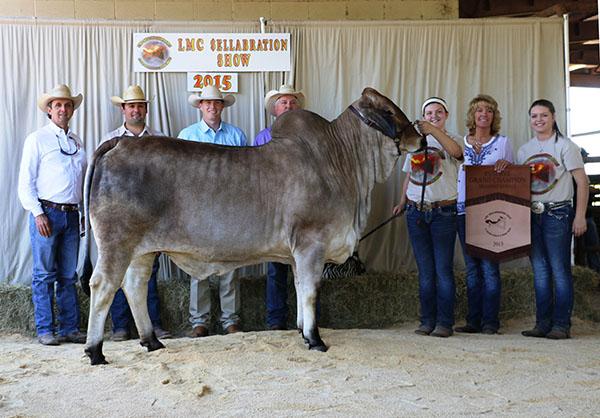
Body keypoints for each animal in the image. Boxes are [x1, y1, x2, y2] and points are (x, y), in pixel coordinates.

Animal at [82, 86, 422, 364]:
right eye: (388, 111)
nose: (420, 138)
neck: (343, 163)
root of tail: (120, 143)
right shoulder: (311, 243)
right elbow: (311, 291)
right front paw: (315, 339)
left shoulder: (297, 252)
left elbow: (299, 287)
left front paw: (302, 332)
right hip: (116, 241)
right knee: (103, 286)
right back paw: (95, 350)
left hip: (143, 250)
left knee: (134, 286)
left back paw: (151, 341)